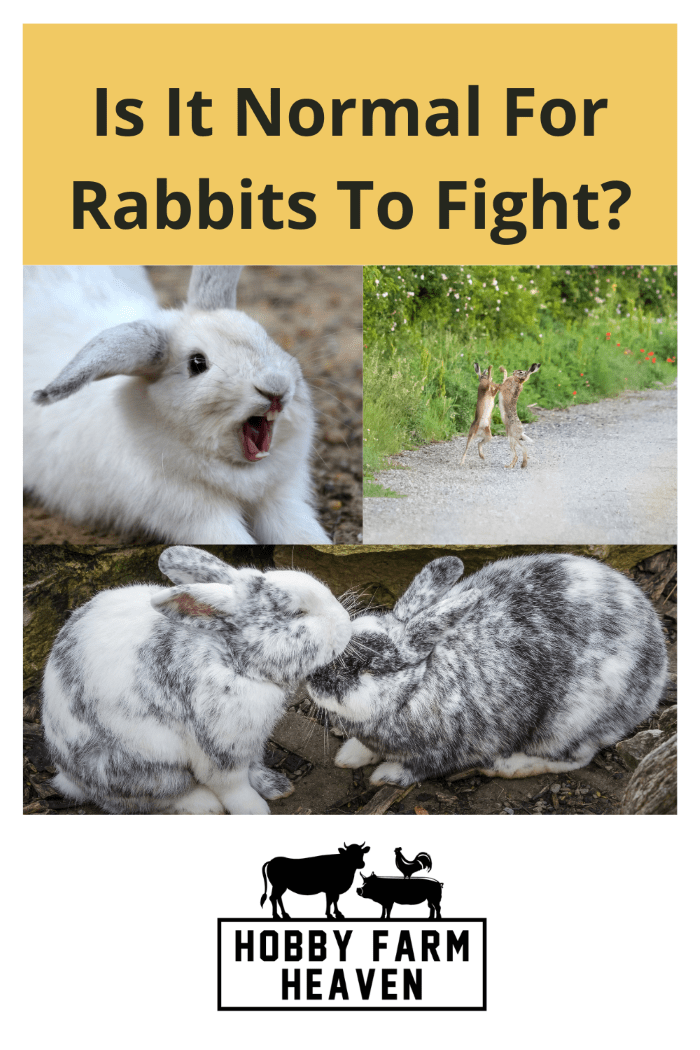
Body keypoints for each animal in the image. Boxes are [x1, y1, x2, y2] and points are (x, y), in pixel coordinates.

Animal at [24, 265, 330, 543]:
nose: (276, 387)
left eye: (264, 336)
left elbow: (301, 533)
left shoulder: (282, 498)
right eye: (197, 363)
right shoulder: (196, 513)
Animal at [40, 545, 352, 814]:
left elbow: (253, 768)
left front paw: (276, 786)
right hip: (148, 770)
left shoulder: (250, 743)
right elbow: (233, 787)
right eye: (297, 613)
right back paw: (204, 805)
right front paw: (255, 811)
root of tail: (68, 776)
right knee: (142, 800)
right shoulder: (220, 751)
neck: (233, 661)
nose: (346, 623)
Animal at [306, 553, 668, 786]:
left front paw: (385, 776)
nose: (311, 681)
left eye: (362, 665)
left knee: (576, 757)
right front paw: (348, 756)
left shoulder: (447, 753)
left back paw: (508, 766)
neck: (413, 690)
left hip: (570, 723)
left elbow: (418, 771)